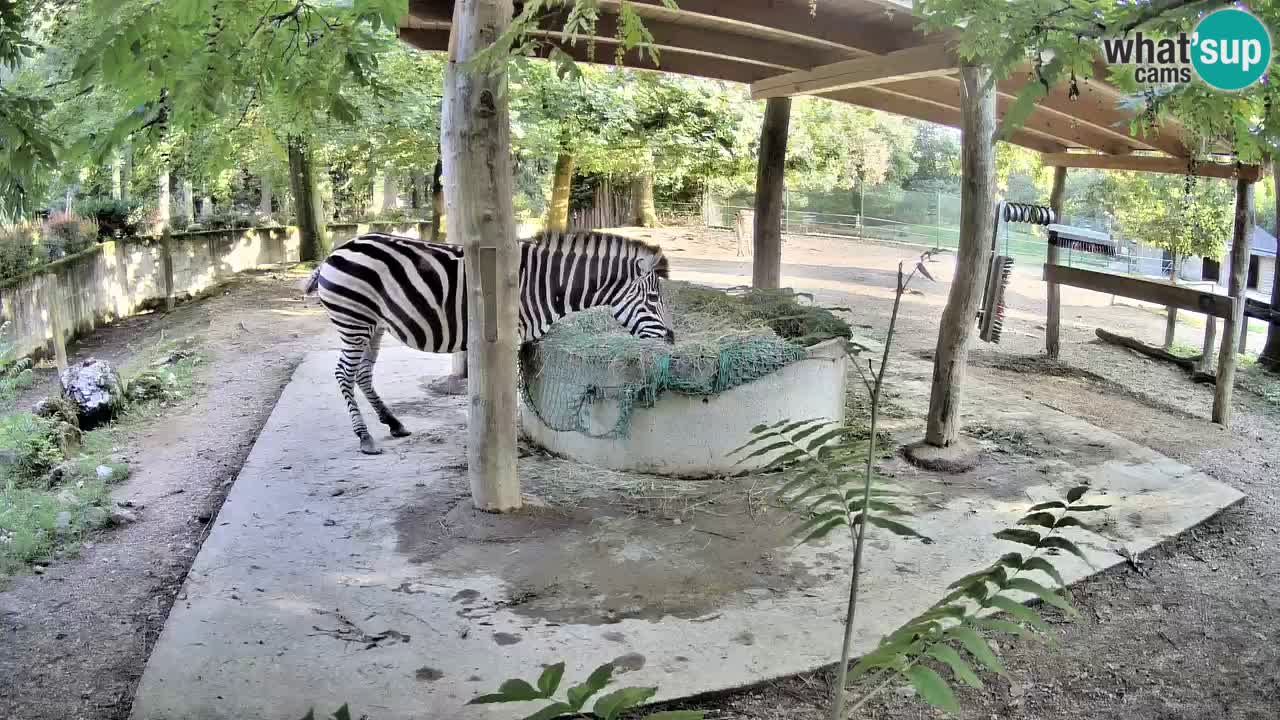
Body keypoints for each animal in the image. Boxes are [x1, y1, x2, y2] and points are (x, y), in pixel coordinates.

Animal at [303, 230, 675, 454]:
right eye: (654, 298)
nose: (671, 340)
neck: (544, 284)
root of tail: (335, 251)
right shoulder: (508, 337)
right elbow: (510, 393)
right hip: (354, 320)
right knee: (344, 373)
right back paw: (364, 437)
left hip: (374, 324)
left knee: (363, 373)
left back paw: (393, 423)